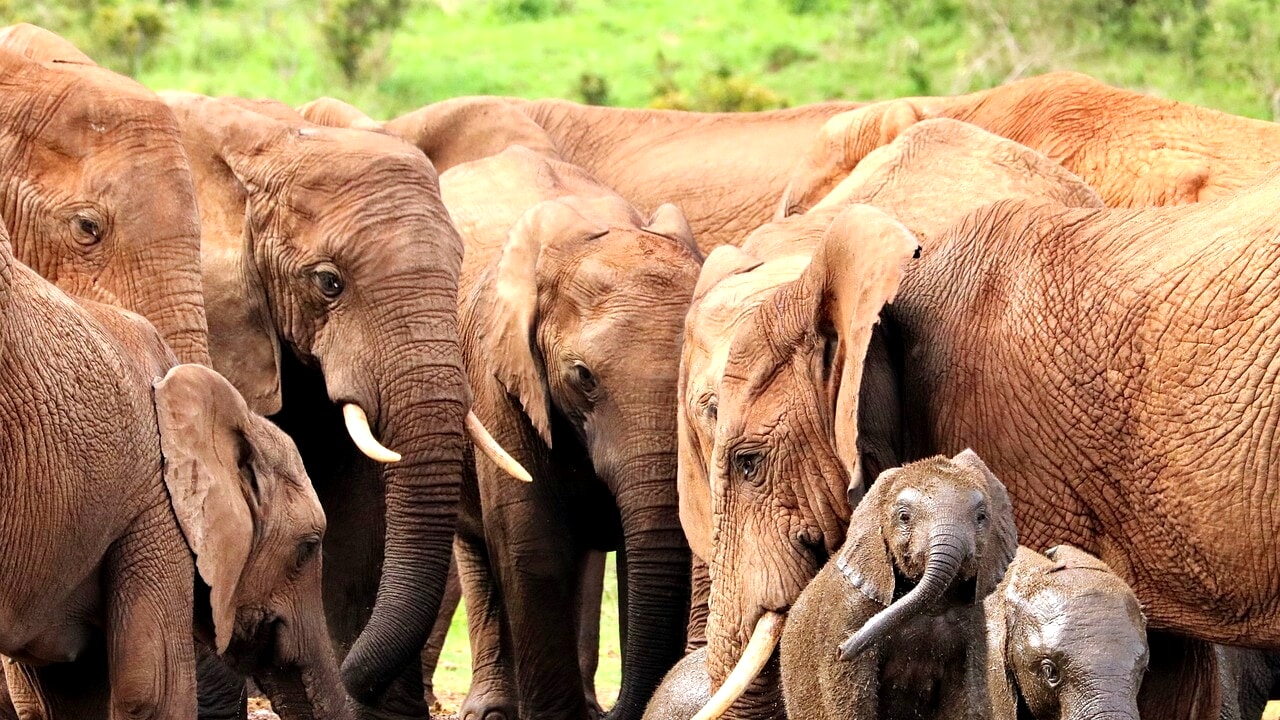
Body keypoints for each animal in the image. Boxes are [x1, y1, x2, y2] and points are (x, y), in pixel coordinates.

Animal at [438, 144, 703, 720]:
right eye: (582, 376)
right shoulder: (497, 377)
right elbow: (532, 547)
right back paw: (493, 711)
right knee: (477, 546)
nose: (615, 711)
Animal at [777, 450, 1017, 720]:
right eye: (904, 517)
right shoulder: (847, 613)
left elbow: (967, 696)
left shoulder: (973, 626)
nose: (843, 649)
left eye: (981, 517)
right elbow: (851, 698)